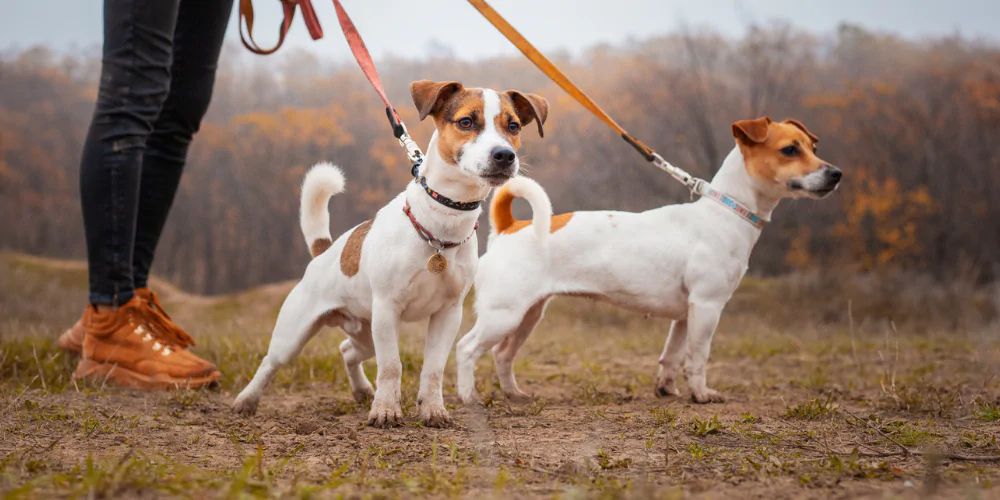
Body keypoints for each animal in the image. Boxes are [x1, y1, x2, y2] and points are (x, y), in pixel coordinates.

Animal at [231, 81, 552, 426]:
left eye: (513, 126)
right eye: (466, 122)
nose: (504, 155)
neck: (440, 224)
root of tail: (323, 251)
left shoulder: (448, 314)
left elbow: (434, 369)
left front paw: (432, 409)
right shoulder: (387, 309)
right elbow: (391, 367)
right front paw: (386, 411)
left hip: (365, 333)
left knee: (347, 350)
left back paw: (361, 390)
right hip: (298, 334)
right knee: (271, 362)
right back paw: (246, 400)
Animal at [458, 118, 840, 406]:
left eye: (813, 148)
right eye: (790, 149)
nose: (836, 173)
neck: (726, 211)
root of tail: (510, 227)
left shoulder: (685, 315)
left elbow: (672, 356)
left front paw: (667, 389)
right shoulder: (708, 307)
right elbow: (697, 357)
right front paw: (701, 394)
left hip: (528, 316)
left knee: (503, 355)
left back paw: (514, 394)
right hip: (503, 315)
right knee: (467, 349)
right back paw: (468, 398)